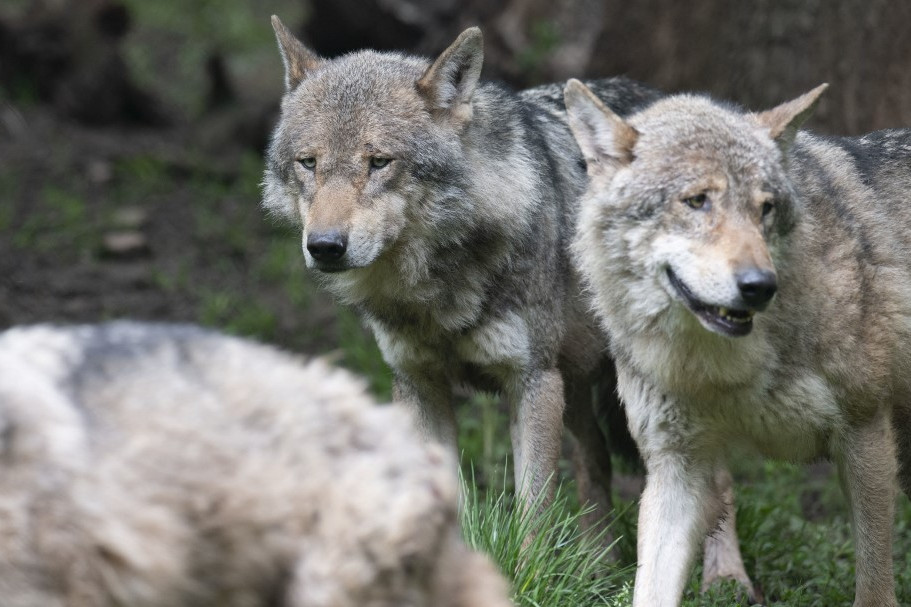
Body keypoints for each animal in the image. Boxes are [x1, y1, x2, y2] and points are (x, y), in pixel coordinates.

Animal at [568, 77, 911, 607]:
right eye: (696, 201)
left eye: (764, 208)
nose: (759, 286)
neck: (726, 369)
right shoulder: (677, 470)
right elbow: (650, 589)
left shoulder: (865, 428)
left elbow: (874, 586)